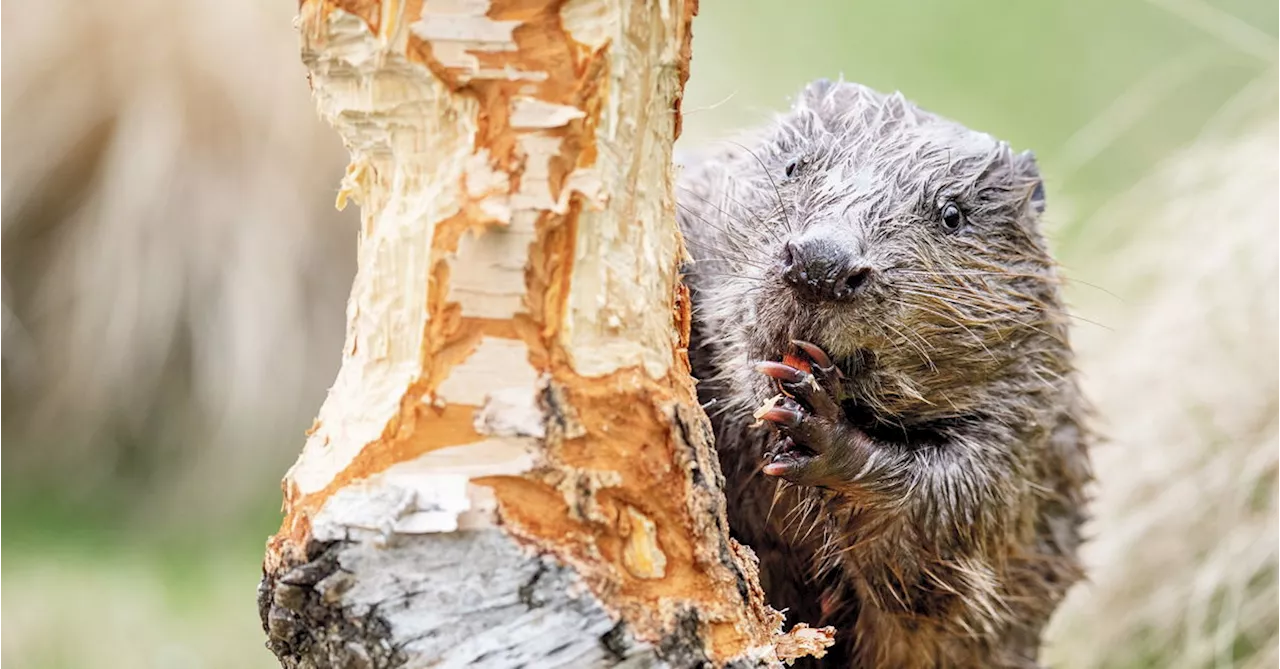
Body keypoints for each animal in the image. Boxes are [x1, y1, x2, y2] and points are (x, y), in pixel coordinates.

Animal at [680, 77, 1090, 665]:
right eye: (793, 165)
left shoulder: (1030, 422)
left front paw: (816, 425)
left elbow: (943, 526)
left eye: (952, 214)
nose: (822, 265)